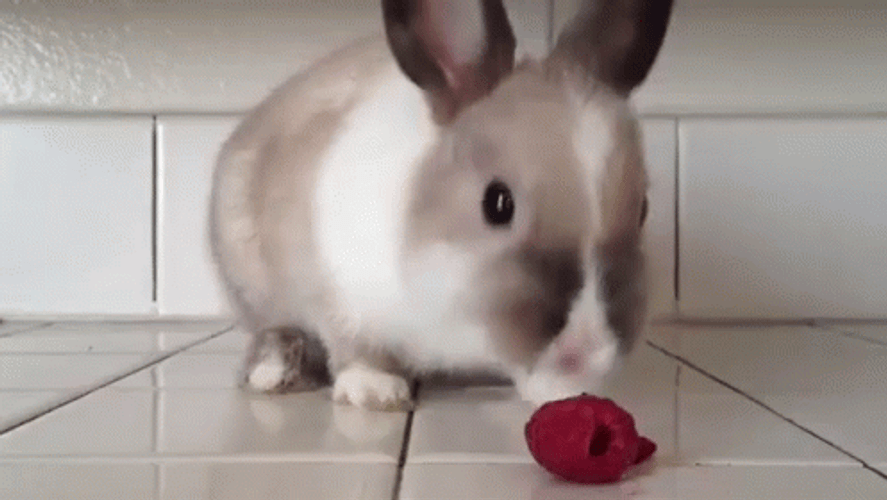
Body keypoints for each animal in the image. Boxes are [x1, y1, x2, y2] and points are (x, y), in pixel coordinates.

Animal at [208, 0, 673, 411]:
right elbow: (356, 349)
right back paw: (274, 373)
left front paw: (561, 394)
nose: (590, 349)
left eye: (643, 209)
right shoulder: (340, 295)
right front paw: (375, 391)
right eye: (497, 204)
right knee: (275, 330)